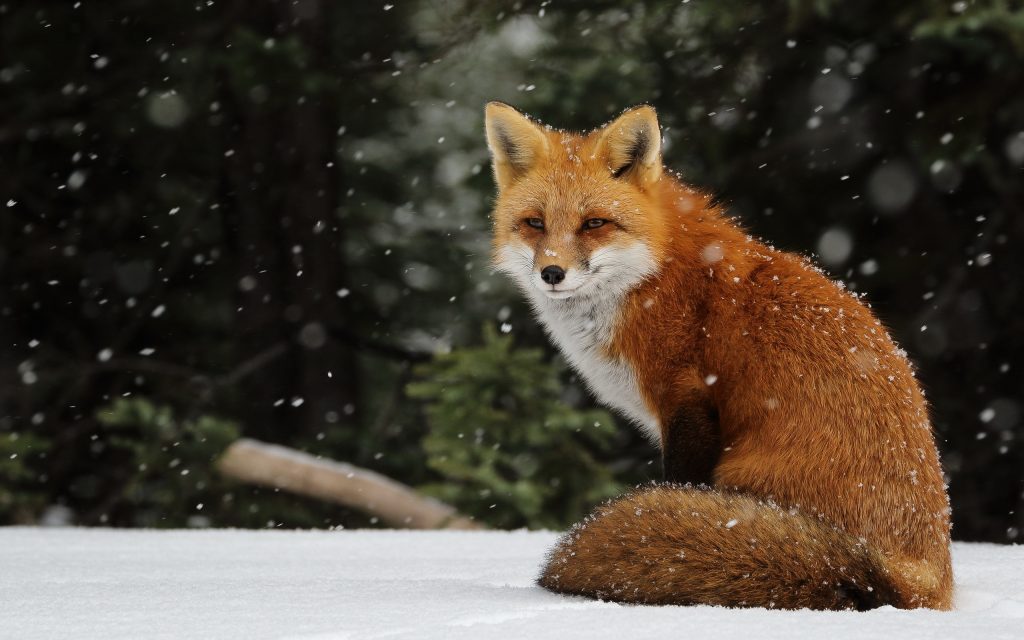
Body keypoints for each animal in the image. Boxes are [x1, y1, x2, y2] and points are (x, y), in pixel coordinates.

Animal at [484, 102, 953, 610]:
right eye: (535, 223)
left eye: (594, 223)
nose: (552, 273)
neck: (649, 277)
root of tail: (916, 579)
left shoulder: (686, 399)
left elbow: (679, 483)